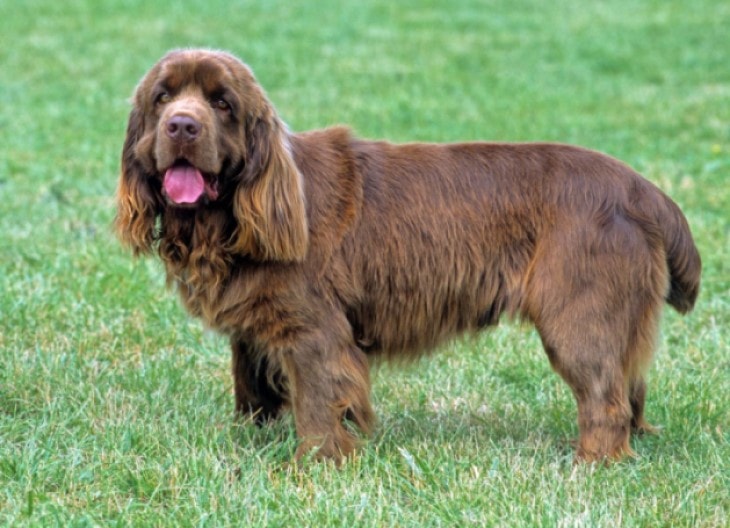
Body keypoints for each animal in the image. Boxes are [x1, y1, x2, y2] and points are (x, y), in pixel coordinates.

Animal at [115, 49, 700, 462]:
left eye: (222, 103)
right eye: (162, 98)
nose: (182, 126)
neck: (228, 219)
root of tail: (643, 189)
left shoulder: (314, 329)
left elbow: (318, 401)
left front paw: (313, 464)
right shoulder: (255, 328)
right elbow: (252, 388)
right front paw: (249, 442)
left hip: (578, 314)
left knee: (604, 397)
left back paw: (590, 463)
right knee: (630, 386)